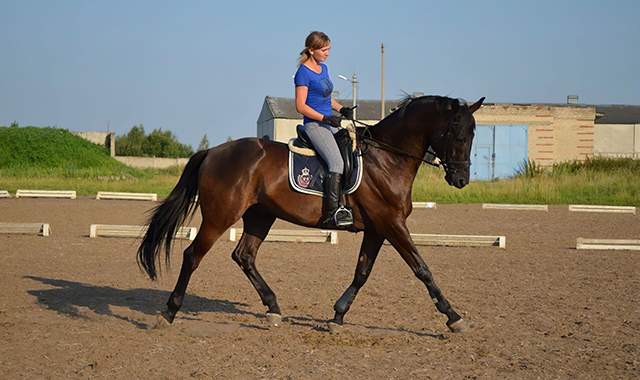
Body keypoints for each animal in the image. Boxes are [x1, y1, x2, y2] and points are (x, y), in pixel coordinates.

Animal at [138, 95, 482, 332]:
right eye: (457, 133)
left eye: (473, 134)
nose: (461, 180)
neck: (386, 159)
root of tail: (213, 152)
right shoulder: (392, 224)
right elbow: (422, 269)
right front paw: (454, 317)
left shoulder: (377, 228)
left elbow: (362, 272)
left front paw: (338, 315)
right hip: (220, 216)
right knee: (193, 255)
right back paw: (169, 313)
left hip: (260, 216)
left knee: (244, 255)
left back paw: (274, 308)